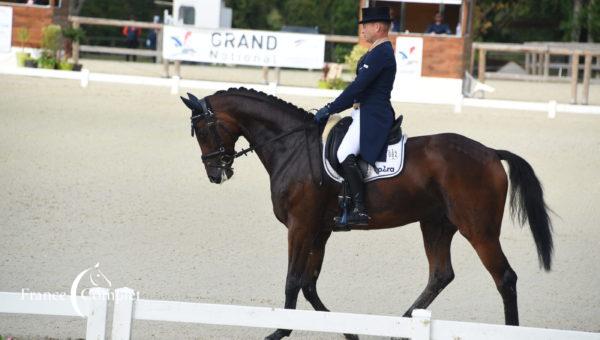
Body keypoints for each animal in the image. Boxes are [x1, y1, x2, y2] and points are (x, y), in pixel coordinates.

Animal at [182, 87, 552, 340]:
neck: (292, 148)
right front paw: (349, 331)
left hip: (478, 229)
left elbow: (292, 282)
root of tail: (490, 152)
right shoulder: (320, 230)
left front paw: (280, 331)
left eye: (203, 130)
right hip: (436, 223)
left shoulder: (300, 227)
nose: (216, 174)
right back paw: (400, 327)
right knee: (440, 274)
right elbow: (308, 285)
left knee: (505, 278)